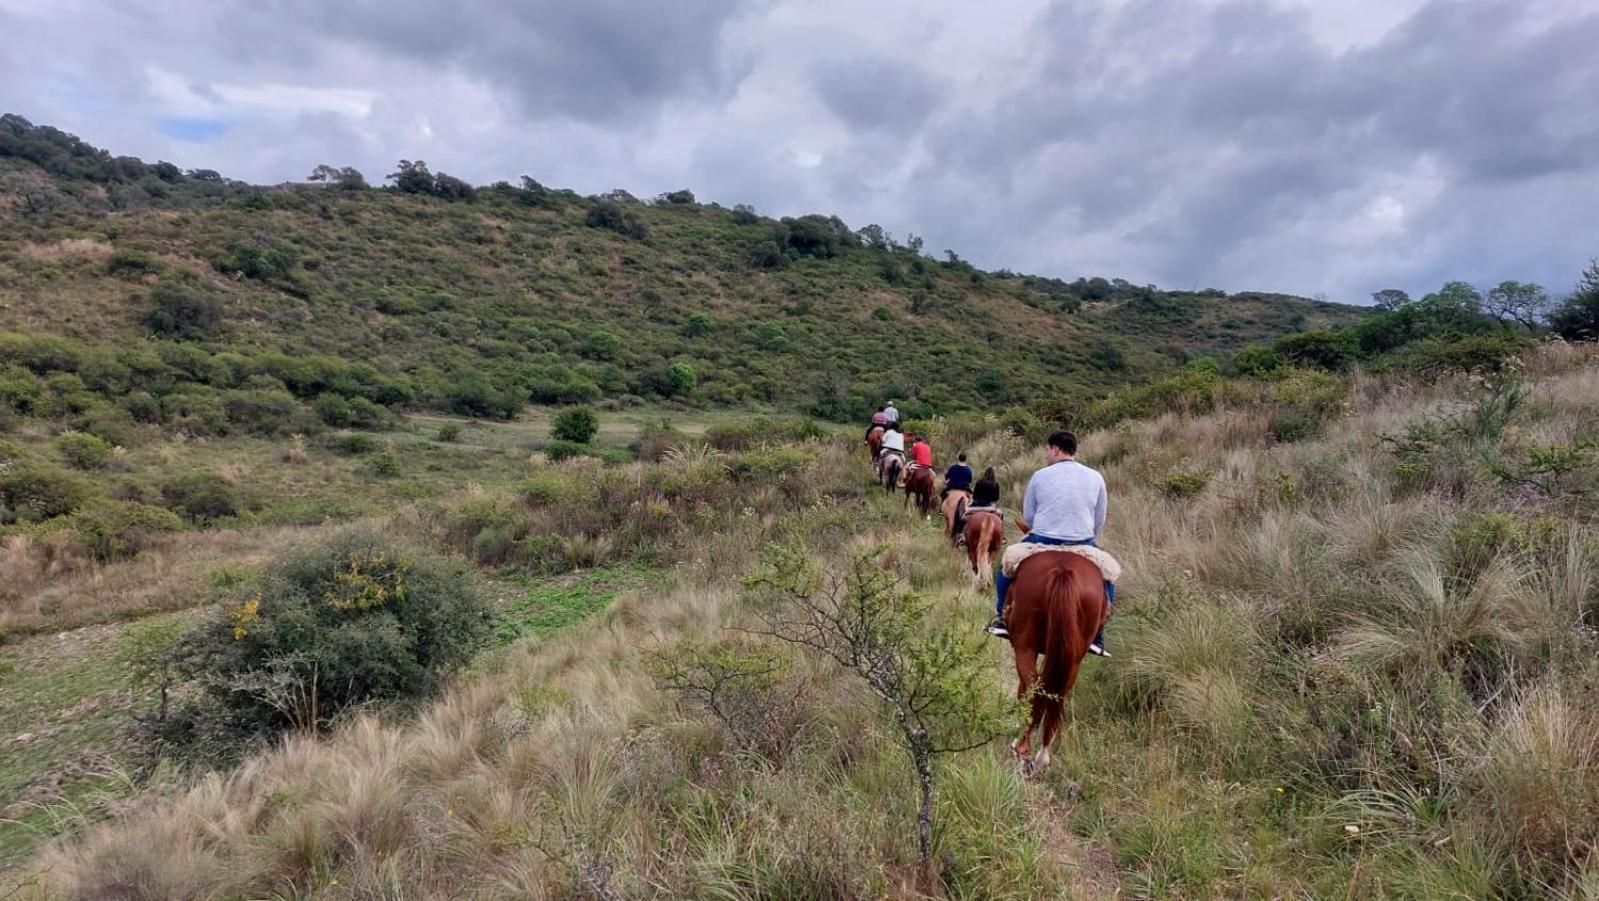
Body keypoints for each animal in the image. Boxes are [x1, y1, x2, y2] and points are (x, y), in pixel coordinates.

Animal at [1004, 553, 1106, 777]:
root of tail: (1062, 571)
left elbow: (1023, 690)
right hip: (1074, 659)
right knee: (1057, 694)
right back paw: (1042, 757)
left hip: (1025, 647)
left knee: (1031, 689)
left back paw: (1022, 748)